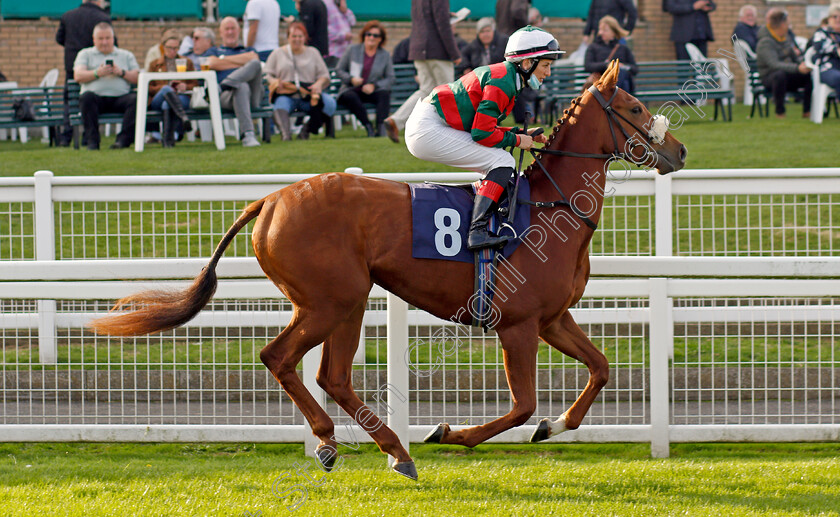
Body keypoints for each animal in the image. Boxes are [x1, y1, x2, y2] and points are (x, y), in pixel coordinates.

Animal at [90, 63, 684, 480]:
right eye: (634, 107)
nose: (677, 150)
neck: (550, 208)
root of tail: (271, 198)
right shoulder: (518, 326)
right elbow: (521, 405)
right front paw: (449, 432)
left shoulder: (553, 318)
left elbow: (599, 369)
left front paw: (553, 426)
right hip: (330, 299)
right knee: (279, 357)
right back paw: (348, 442)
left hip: (348, 301)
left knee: (331, 375)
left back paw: (383, 450)